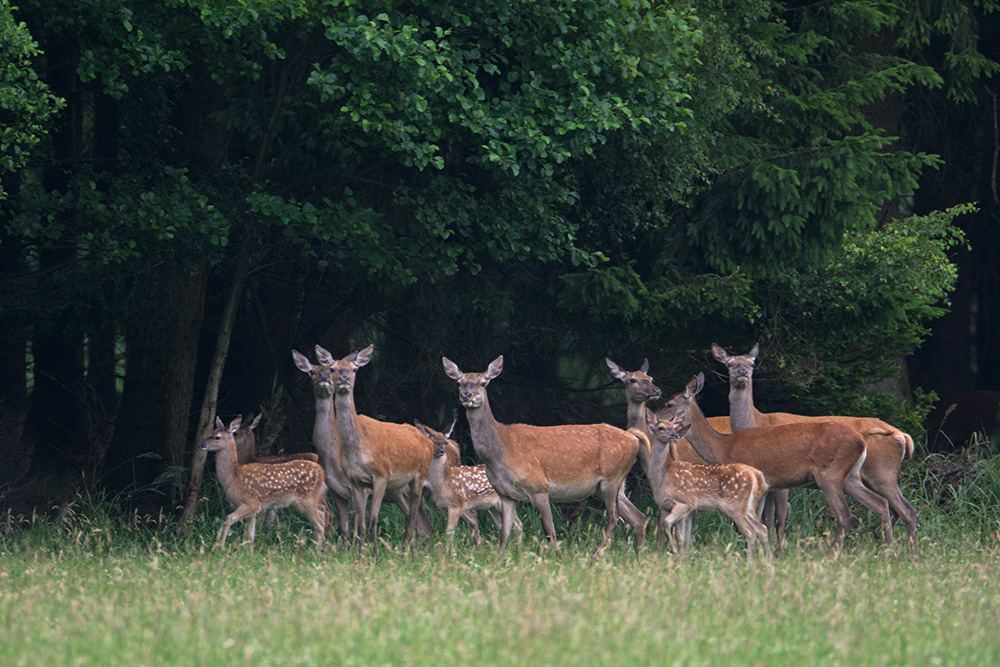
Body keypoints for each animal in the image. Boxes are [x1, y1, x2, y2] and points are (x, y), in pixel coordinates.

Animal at [199, 414, 328, 552]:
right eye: (210, 432)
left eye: (217, 437)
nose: (200, 445)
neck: (233, 476)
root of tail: (321, 470)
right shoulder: (253, 508)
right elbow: (250, 534)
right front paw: (250, 552)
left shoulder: (252, 502)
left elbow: (229, 519)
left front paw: (221, 547)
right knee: (322, 515)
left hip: (307, 499)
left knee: (320, 524)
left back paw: (316, 551)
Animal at [444, 358, 648, 556]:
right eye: (459, 382)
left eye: (483, 382)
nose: (466, 395)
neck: (498, 453)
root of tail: (632, 437)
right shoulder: (505, 494)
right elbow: (504, 533)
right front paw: (499, 559)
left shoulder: (539, 486)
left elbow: (549, 531)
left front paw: (559, 558)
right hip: (613, 485)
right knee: (638, 517)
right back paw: (638, 556)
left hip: (612, 479)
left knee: (615, 517)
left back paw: (595, 556)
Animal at [644, 412, 768, 560]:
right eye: (661, 427)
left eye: (673, 427)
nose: (675, 434)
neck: (664, 476)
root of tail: (755, 475)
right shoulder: (668, 506)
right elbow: (682, 536)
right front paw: (683, 558)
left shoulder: (685, 502)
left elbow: (669, 526)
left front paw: (675, 552)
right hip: (748, 507)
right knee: (762, 528)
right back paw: (766, 561)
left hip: (735, 506)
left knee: (750, 532)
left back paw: (751, 562)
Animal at [656, 376, 892, 552]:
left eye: (669, 404)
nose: (656, 420)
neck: (723, 448)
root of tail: (861, 441)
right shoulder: (764, 488)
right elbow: (761, 520)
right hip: (851, 477)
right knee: (881, 504)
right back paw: (889, 551)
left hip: (830, 474)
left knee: (844, 514)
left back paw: (832, 553)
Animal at [712, 344, 916, 552]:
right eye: (730, 363)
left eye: (752, 363)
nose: (742, 372)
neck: (756, 422)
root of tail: (902, 435)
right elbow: (767, 517)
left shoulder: (781, 477)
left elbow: (779, 515)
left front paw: (780, 549)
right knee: (894, 509)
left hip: (882, 473)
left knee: (903, 509)